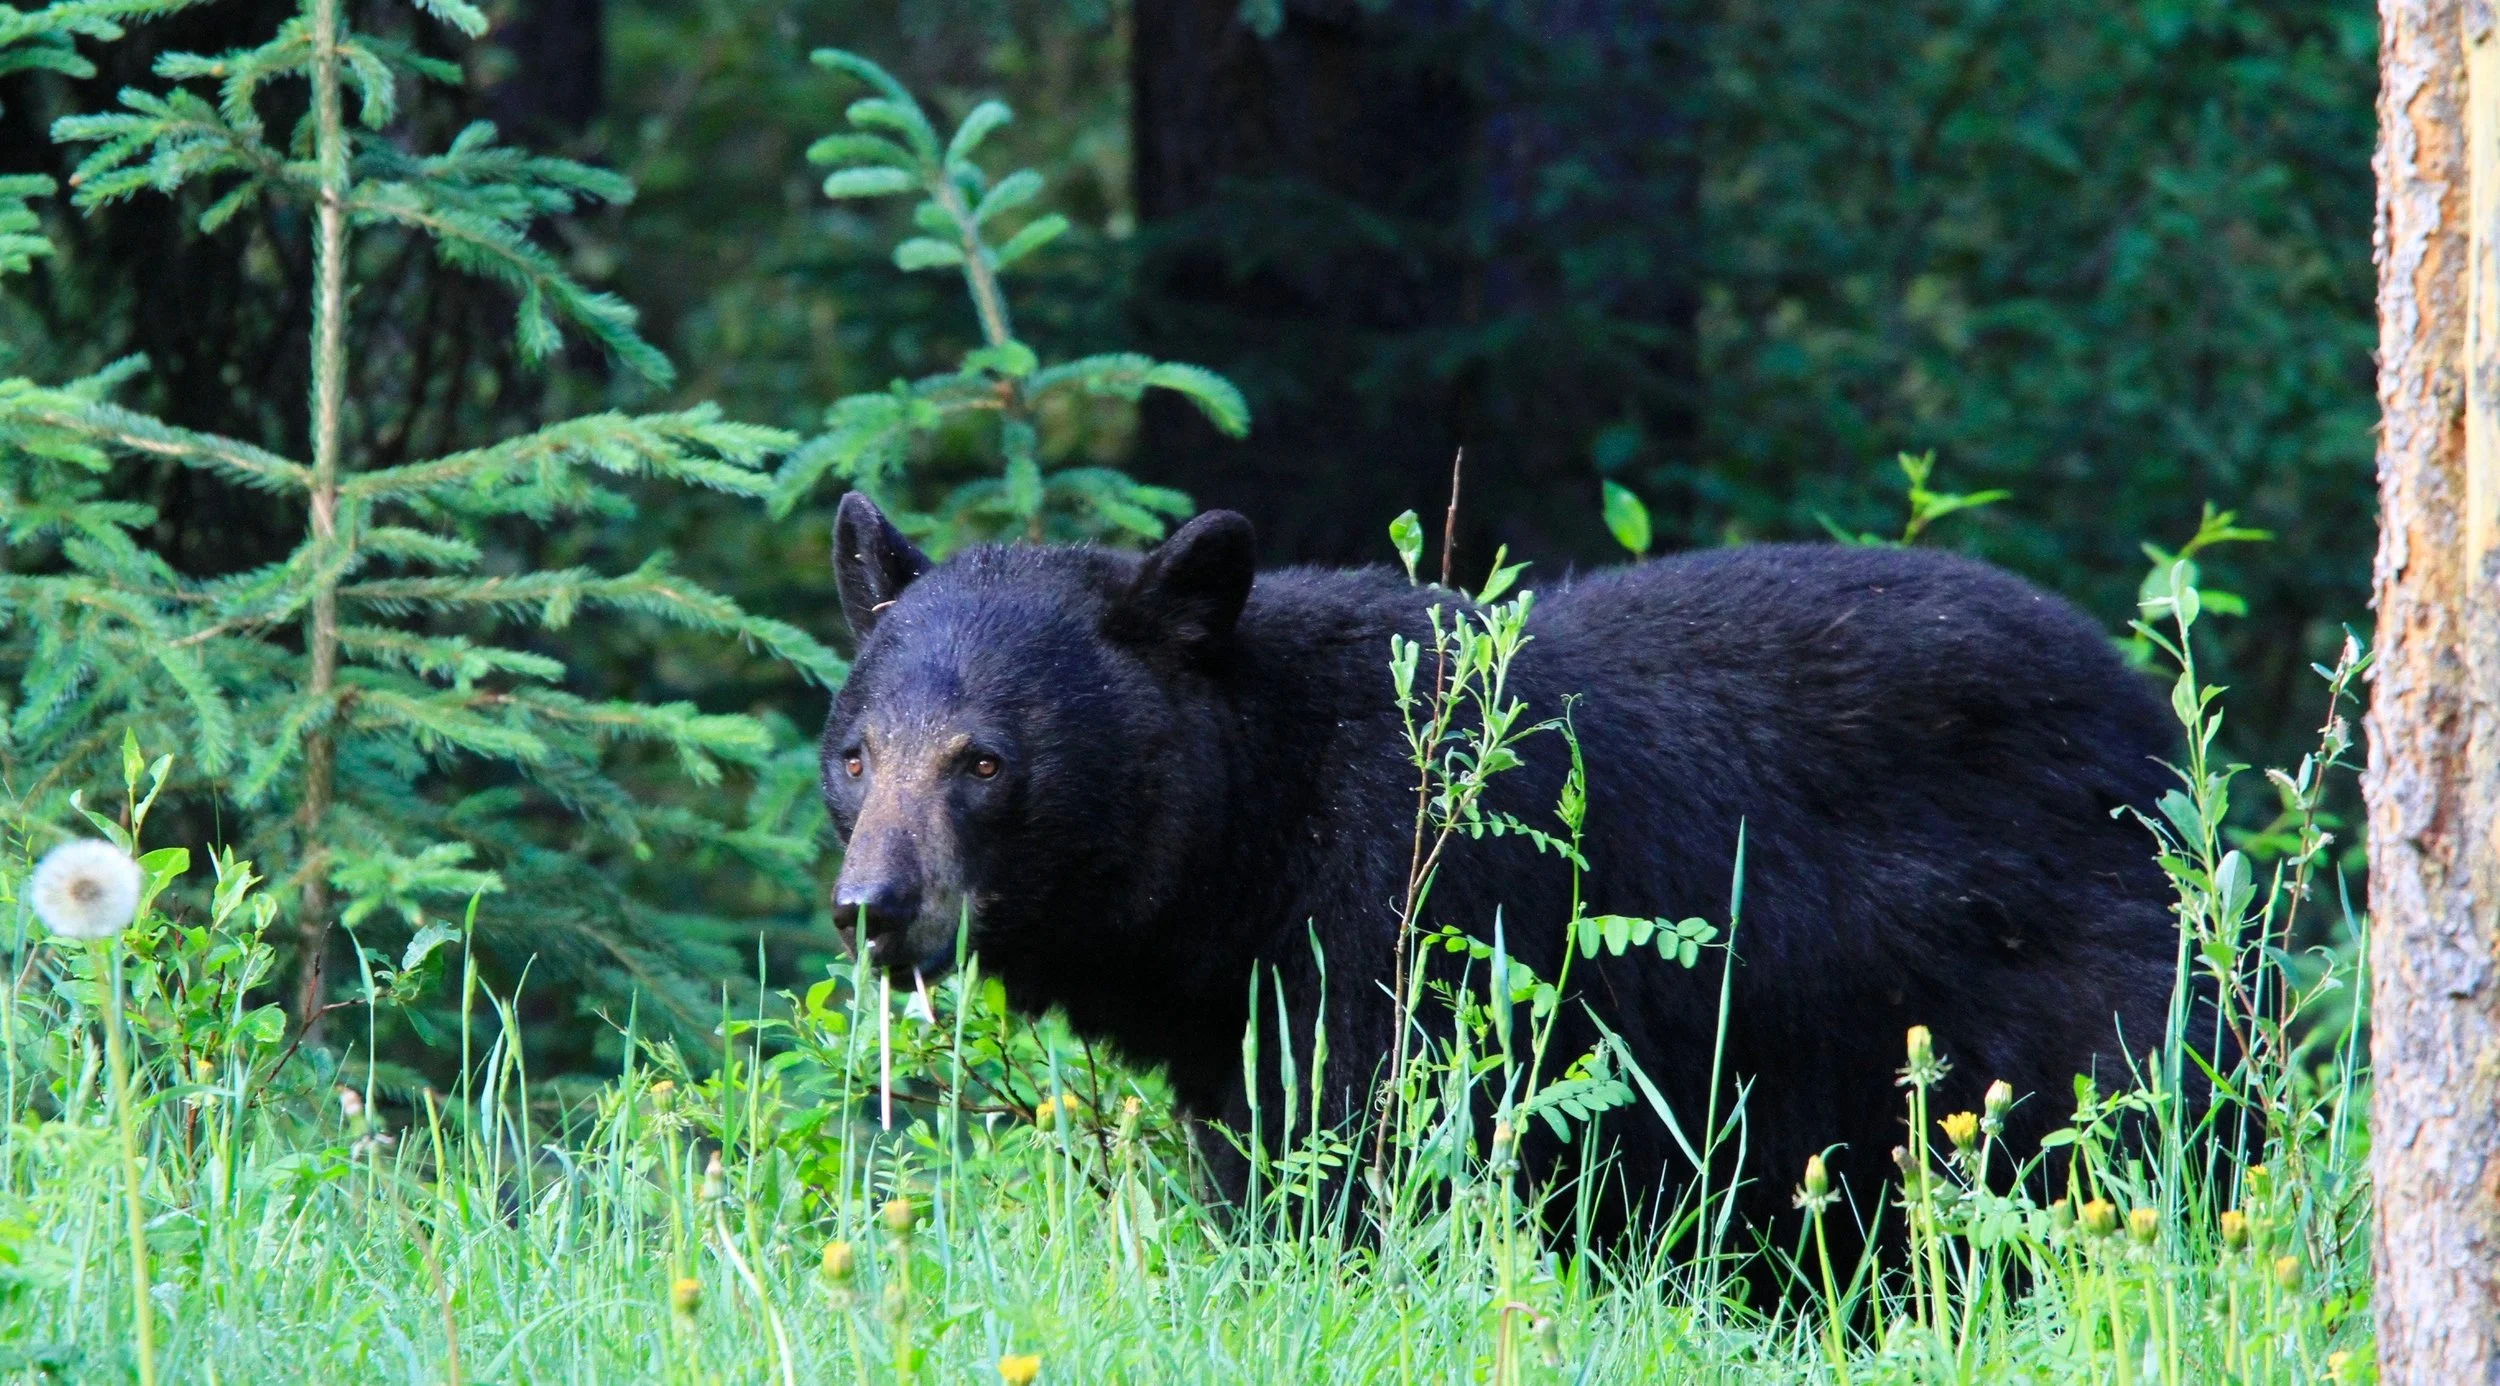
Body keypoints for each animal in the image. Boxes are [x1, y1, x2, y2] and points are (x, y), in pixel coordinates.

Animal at [818, 491, 2184, 1258]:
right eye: (856, 753)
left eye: (983, 760)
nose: (874, 907)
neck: (1256, 832)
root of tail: (2143, 720)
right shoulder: (1239, 1021)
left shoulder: (1403, 909)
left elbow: (1372, 1152)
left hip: (2057, 994)